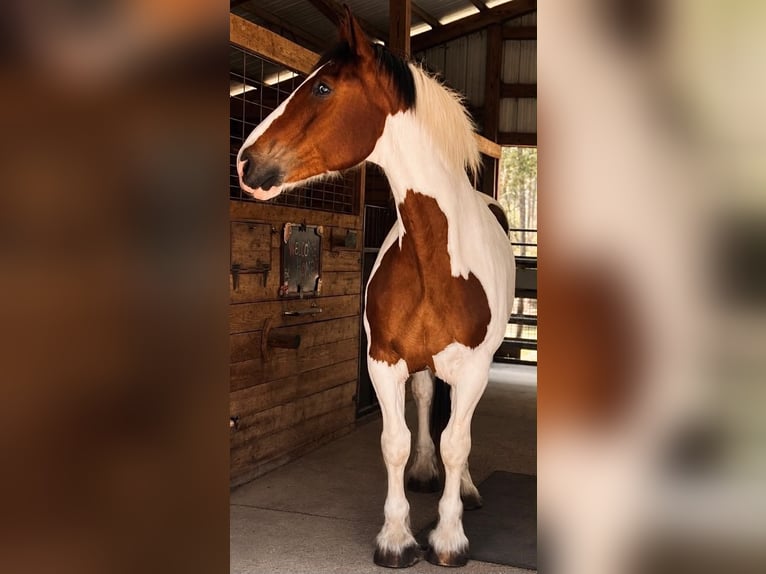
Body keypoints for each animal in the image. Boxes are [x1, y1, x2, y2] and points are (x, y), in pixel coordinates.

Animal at [237, 8, 515, 568]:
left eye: (322, 87)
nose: (244, 162)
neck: (435, 259)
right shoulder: (384, 360)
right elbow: (395, 442)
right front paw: (396, 538)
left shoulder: (474, 366)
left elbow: (458, 443)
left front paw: (448, 539)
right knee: (427, 398)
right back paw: (427, 474)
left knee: (460, 429)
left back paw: (465, 490)